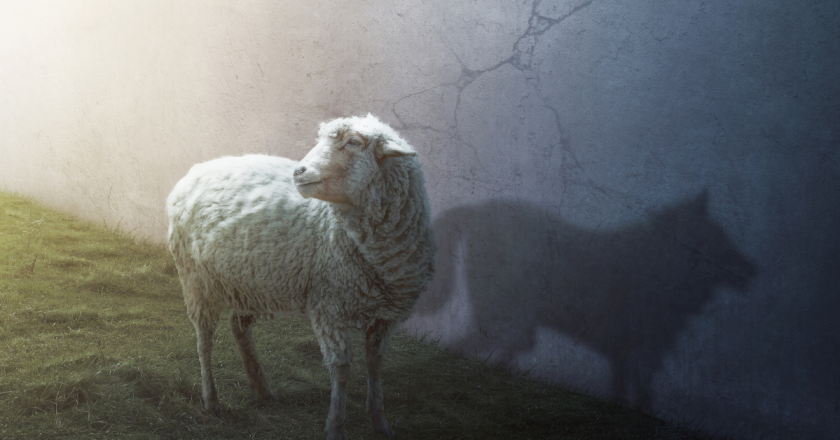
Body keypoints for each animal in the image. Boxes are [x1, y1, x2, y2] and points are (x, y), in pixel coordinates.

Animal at [166, 114, 435, 440]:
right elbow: (341, 370)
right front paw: (335, 426)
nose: (299, 171)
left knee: (239, 326)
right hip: (196, 279)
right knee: (204, 339)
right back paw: (211, 399)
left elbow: (375, 365)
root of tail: (196, 170)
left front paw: (380, 423)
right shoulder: (330, 308)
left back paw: (261, 388)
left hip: (250, 282)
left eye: (354, 143)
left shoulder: (386, 316)